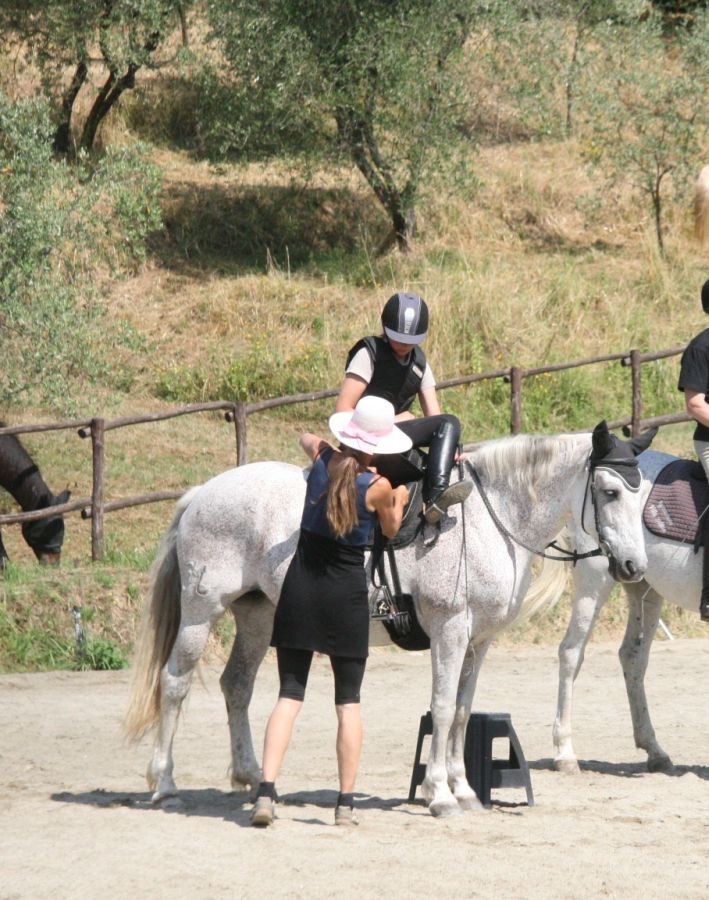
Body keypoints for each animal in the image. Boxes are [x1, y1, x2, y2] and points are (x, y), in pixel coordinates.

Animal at [126, 422, 652, 816]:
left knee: (236, 684)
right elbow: (442, 708)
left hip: (257, 615)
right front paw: (439, 794)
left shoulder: (478, 641)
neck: (492, 517)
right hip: (202, 613)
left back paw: (252, 776)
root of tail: (203, 491)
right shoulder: (450, 631)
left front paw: (464, 789)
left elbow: (463, 711)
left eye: (639, 492)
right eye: (609, 492)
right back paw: (164, 784)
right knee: (175, 683)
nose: (633, 566)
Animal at [552, 450, 708, 772]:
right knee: (571, 652)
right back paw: (565, 753)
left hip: (643, 585)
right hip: (595, 580)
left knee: (632, 657)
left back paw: (654, 750)